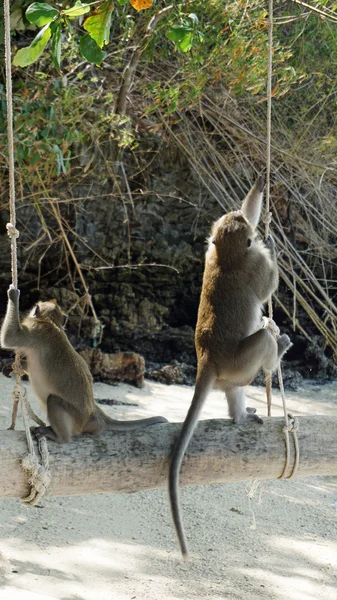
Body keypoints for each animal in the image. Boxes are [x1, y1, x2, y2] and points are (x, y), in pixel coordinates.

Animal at [0, 288, 167, 442]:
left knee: (53, 400)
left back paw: (60, 437)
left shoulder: (36, 329)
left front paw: (13, 296)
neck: (52, 322)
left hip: (75, 419)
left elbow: (10, 338)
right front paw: (13, 364)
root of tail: (91, 414)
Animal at [168, 175, 292, 564]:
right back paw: (277, 349)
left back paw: (239, 416)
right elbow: (268, 284)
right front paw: (273, 244)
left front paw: (259, 195)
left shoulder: (210, 251)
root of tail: (207, 358)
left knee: (234, 389)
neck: (225, 255)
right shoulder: (254, 265)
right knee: (263, 340)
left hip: (232, 372)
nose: (261, 237)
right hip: (243, 361)